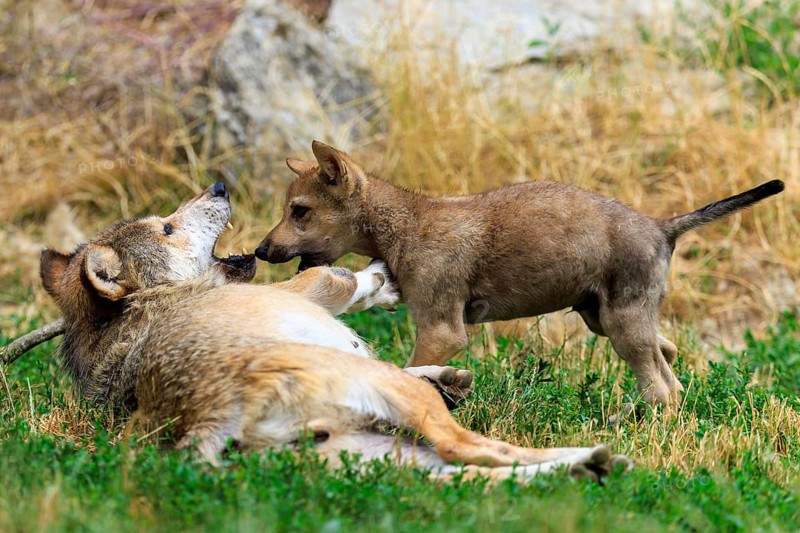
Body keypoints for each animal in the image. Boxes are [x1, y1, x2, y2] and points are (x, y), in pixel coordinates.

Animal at [40, 182, 630, 482]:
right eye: (166, 227)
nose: (219, 184)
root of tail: (209, 416)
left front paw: (445, 372)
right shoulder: (304, 291)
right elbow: (343, 279)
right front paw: (383, 279)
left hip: (381, 454)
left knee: (473, 470)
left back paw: (591, 466)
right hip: (397, 415)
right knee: (473, 450)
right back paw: (597, 460)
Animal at [255, 141, 785, 405]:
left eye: (299, 211)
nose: (259, 251)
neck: (404, 224)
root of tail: (662, 226)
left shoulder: (442, 330)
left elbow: (409, 371)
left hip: (622, 325)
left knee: (663, 388)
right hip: (606, 319)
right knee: (668, 356)